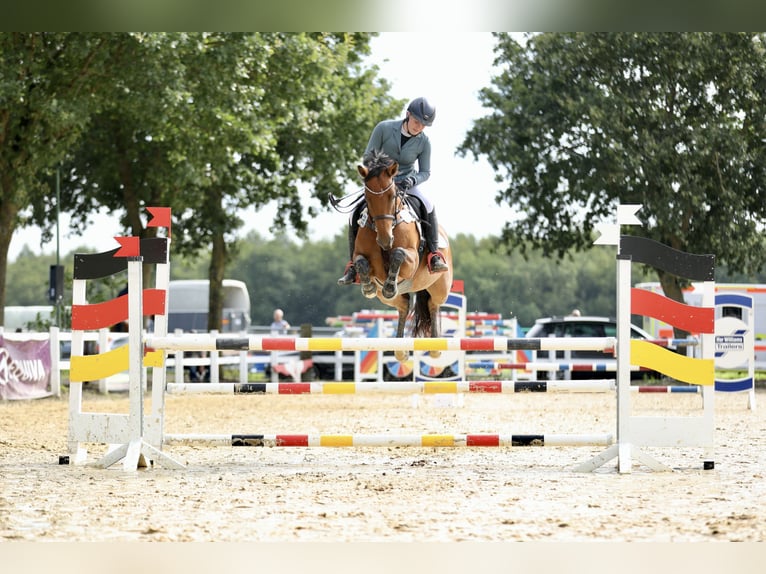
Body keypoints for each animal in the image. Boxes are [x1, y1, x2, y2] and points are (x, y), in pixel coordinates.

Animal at [352, 151, 452, 362]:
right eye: (367, 198)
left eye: (392, 197)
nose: (385, 239)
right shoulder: (362, 257)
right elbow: (361, 262)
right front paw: (368, 286)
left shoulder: (411, 259)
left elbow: (398, 254)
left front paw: (390, 284)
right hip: (386, 299)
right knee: (404, 305)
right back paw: (401, 349)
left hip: (440, 287)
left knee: (433, 303)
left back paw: (435, 346)